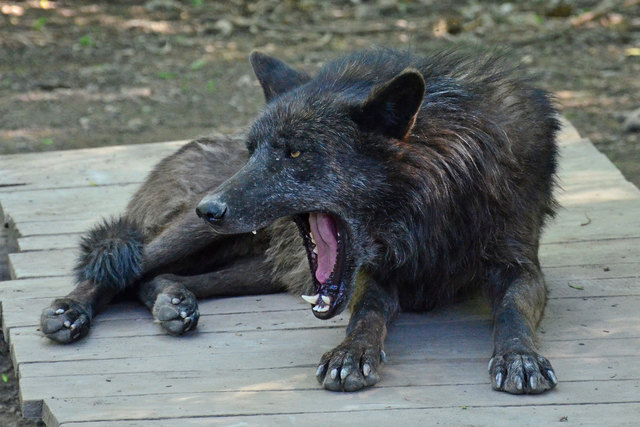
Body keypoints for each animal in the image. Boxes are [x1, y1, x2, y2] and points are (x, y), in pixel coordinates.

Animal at [41, 48, 559, 394]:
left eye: (295, 153)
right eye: (254, 150)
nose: (211, 207)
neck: (437, 198)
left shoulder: (521, 267)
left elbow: (512, 311)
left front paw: (520, 358)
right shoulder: (376, 275)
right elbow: (365, 316)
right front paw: (351, 354)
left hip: (258, 272)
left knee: (152, 280)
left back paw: (173, 302)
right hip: (192, 236)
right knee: (125, 267)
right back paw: (71, 311)